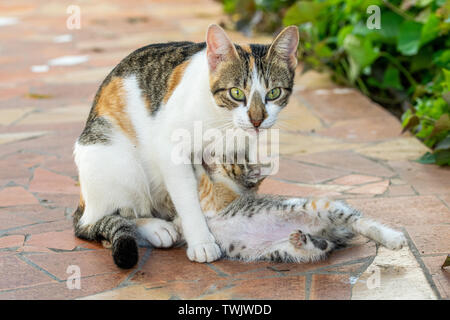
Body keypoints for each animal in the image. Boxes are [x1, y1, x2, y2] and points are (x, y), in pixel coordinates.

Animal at [73, 23, 298, 268]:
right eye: (236, 93)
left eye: (274, 93)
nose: (256, 120)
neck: (221, 118)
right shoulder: (170, 148)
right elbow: (188, 196)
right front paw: (202, 241)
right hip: (114, 155)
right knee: (102, 221)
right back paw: (156, 228)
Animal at [193, 160, 408, 262]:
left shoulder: (213, 199)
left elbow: (202, 179)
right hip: (279, 250)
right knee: (324, 247)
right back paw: (304, 240)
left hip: (321, 207)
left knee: (358, 221)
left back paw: (393, 238)